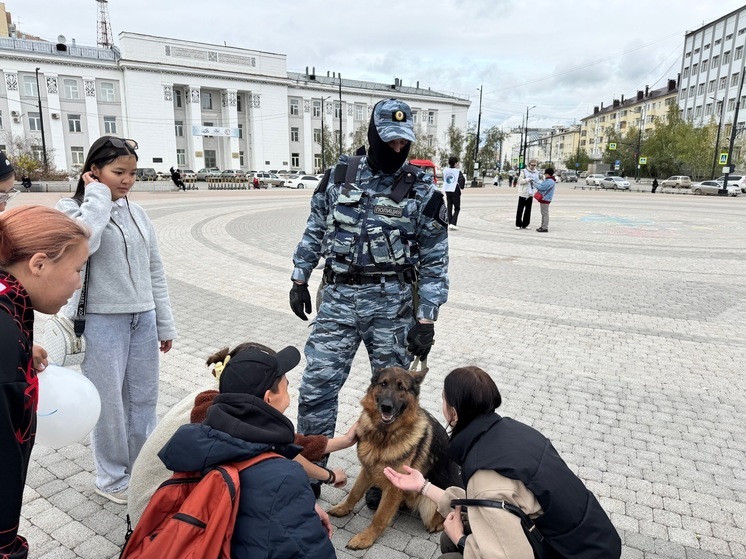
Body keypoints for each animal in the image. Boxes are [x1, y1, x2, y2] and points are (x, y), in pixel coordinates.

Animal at [326, 368, 460, 552]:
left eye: (401, 387)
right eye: (383, 384)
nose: (386, 406)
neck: (383, 436)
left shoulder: (395, 486)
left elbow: (380, 517)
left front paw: (365, 538)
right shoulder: (367, 470)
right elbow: (355, 492)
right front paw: (343, 508)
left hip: (431, 503)